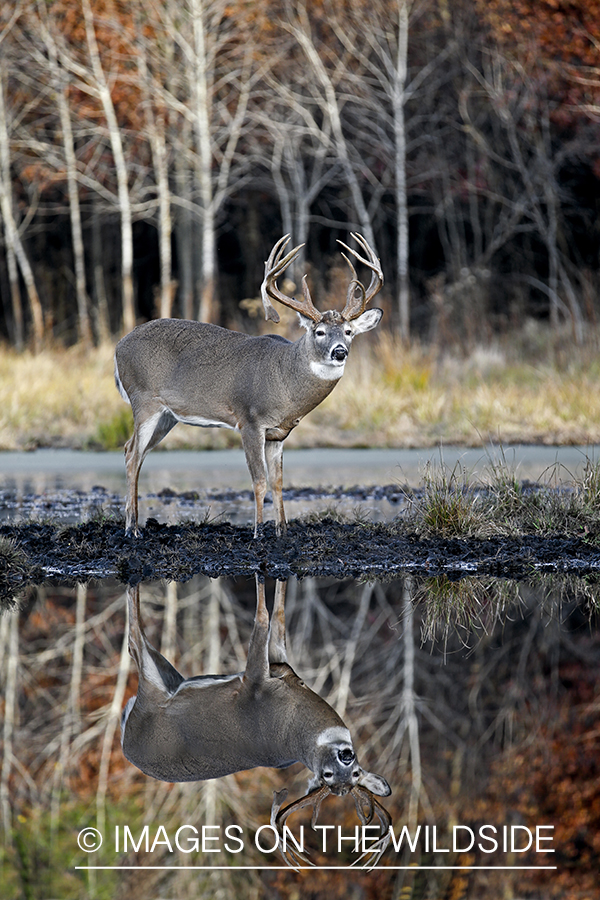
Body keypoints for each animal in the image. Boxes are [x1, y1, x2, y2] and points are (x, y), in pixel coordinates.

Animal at [114, 232, 382, 536]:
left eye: (349, 332)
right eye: (320, 332)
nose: (340, 352)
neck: (285, 381)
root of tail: (118, 346)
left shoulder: (279, 433)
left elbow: (278, 482)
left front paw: (282, 530)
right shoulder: (250, 420)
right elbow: (259, 480)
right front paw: (258, 531)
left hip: (167, 416)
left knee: (132, 451)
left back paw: (133, 523)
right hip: (144, 400)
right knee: (133, 455)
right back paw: (132, 529)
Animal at [122, 580, 394, 868]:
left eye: (352, 775)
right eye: (329, 775)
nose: (344, 758)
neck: (296, 720)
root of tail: (126, 743)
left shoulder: (259, 681)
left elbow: (266, 616)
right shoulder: (269, 671)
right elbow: (275, 615)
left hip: (157, 687)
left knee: (135, 642)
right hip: (165, 677)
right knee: (135, 642)